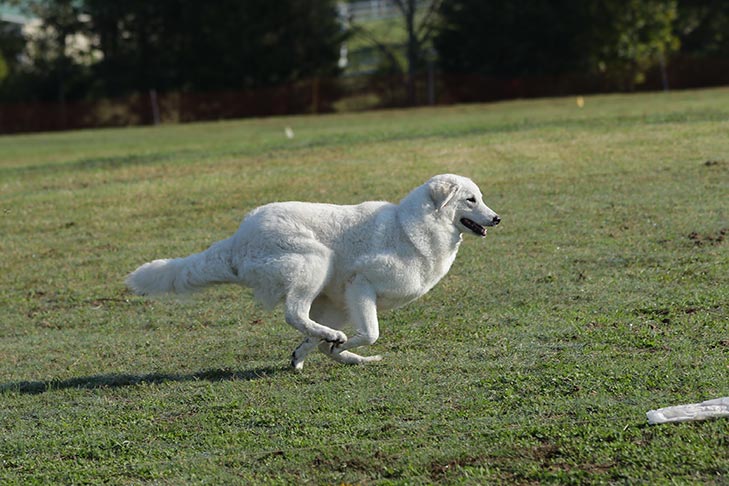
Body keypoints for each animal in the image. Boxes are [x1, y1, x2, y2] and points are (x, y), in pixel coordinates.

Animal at [128, 174, 498, 368]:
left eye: (480, 198)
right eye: (470, 200)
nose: (497, 218)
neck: (411, 228)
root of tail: (238, 238)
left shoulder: (347, 299)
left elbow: (333, 340)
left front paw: (328, 350)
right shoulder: (360, 283)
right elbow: (371, 332)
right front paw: (346, 344)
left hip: (329, 297)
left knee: (311, 331)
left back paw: (337, 353)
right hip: (315, 263)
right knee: (294, 313)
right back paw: (337, 343)